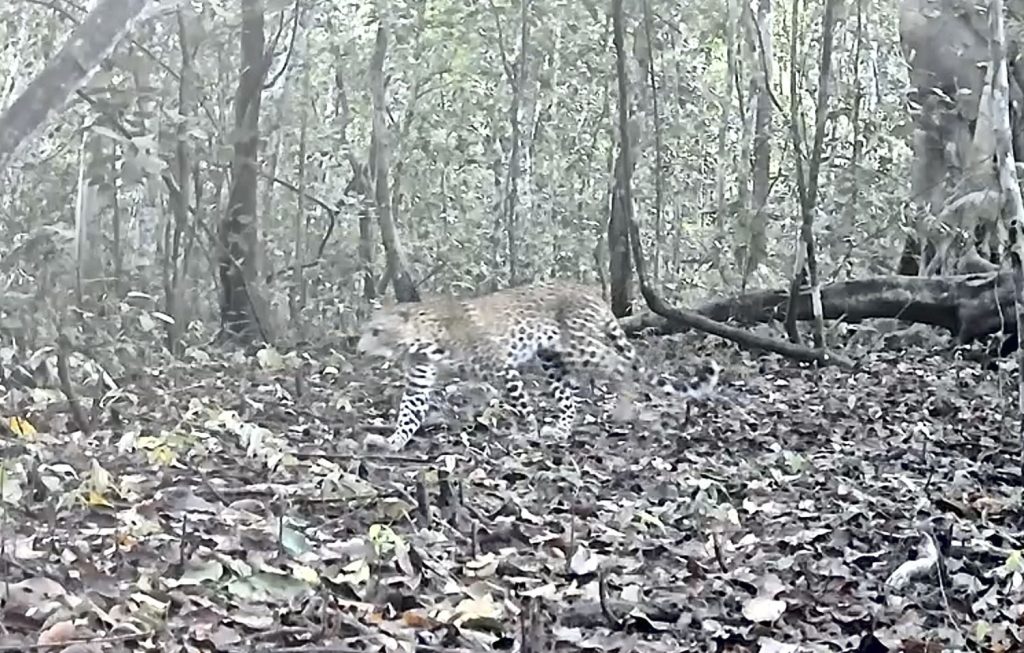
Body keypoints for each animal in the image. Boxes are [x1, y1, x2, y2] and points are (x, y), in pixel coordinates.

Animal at [356, 280, 720, 450]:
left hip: (580, 348)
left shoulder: (502, 367)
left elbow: (520, 405)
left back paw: (623, 410)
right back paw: (559, 430)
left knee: (619, 366)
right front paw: (392, 442)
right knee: (569, 399)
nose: (358, 350)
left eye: (376, 331)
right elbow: (408, 414)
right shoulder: (419, 381)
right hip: (552, 359)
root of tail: (590, 291)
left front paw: (527, 433)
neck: (423, 343)